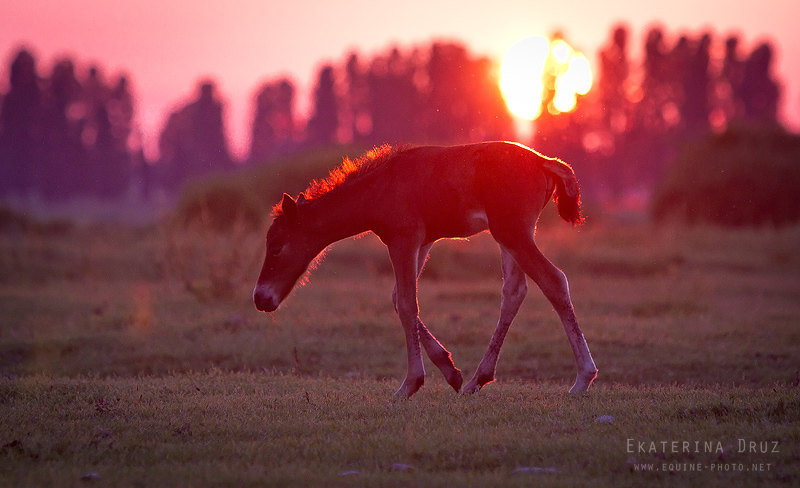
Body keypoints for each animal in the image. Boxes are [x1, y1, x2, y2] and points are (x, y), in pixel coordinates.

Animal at [253, 140, 596, 396]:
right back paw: (477, 379)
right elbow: (398, 298)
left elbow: (407, 303)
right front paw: (450, 371)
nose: (260, 298)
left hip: (512, 231)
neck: (380, 187)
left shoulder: (402, 239)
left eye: (277, 245)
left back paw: (583, 378)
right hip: (511, 235)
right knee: (514, 291)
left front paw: (410, 384)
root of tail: (544, 162)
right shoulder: (424, 241)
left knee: (553, 280)